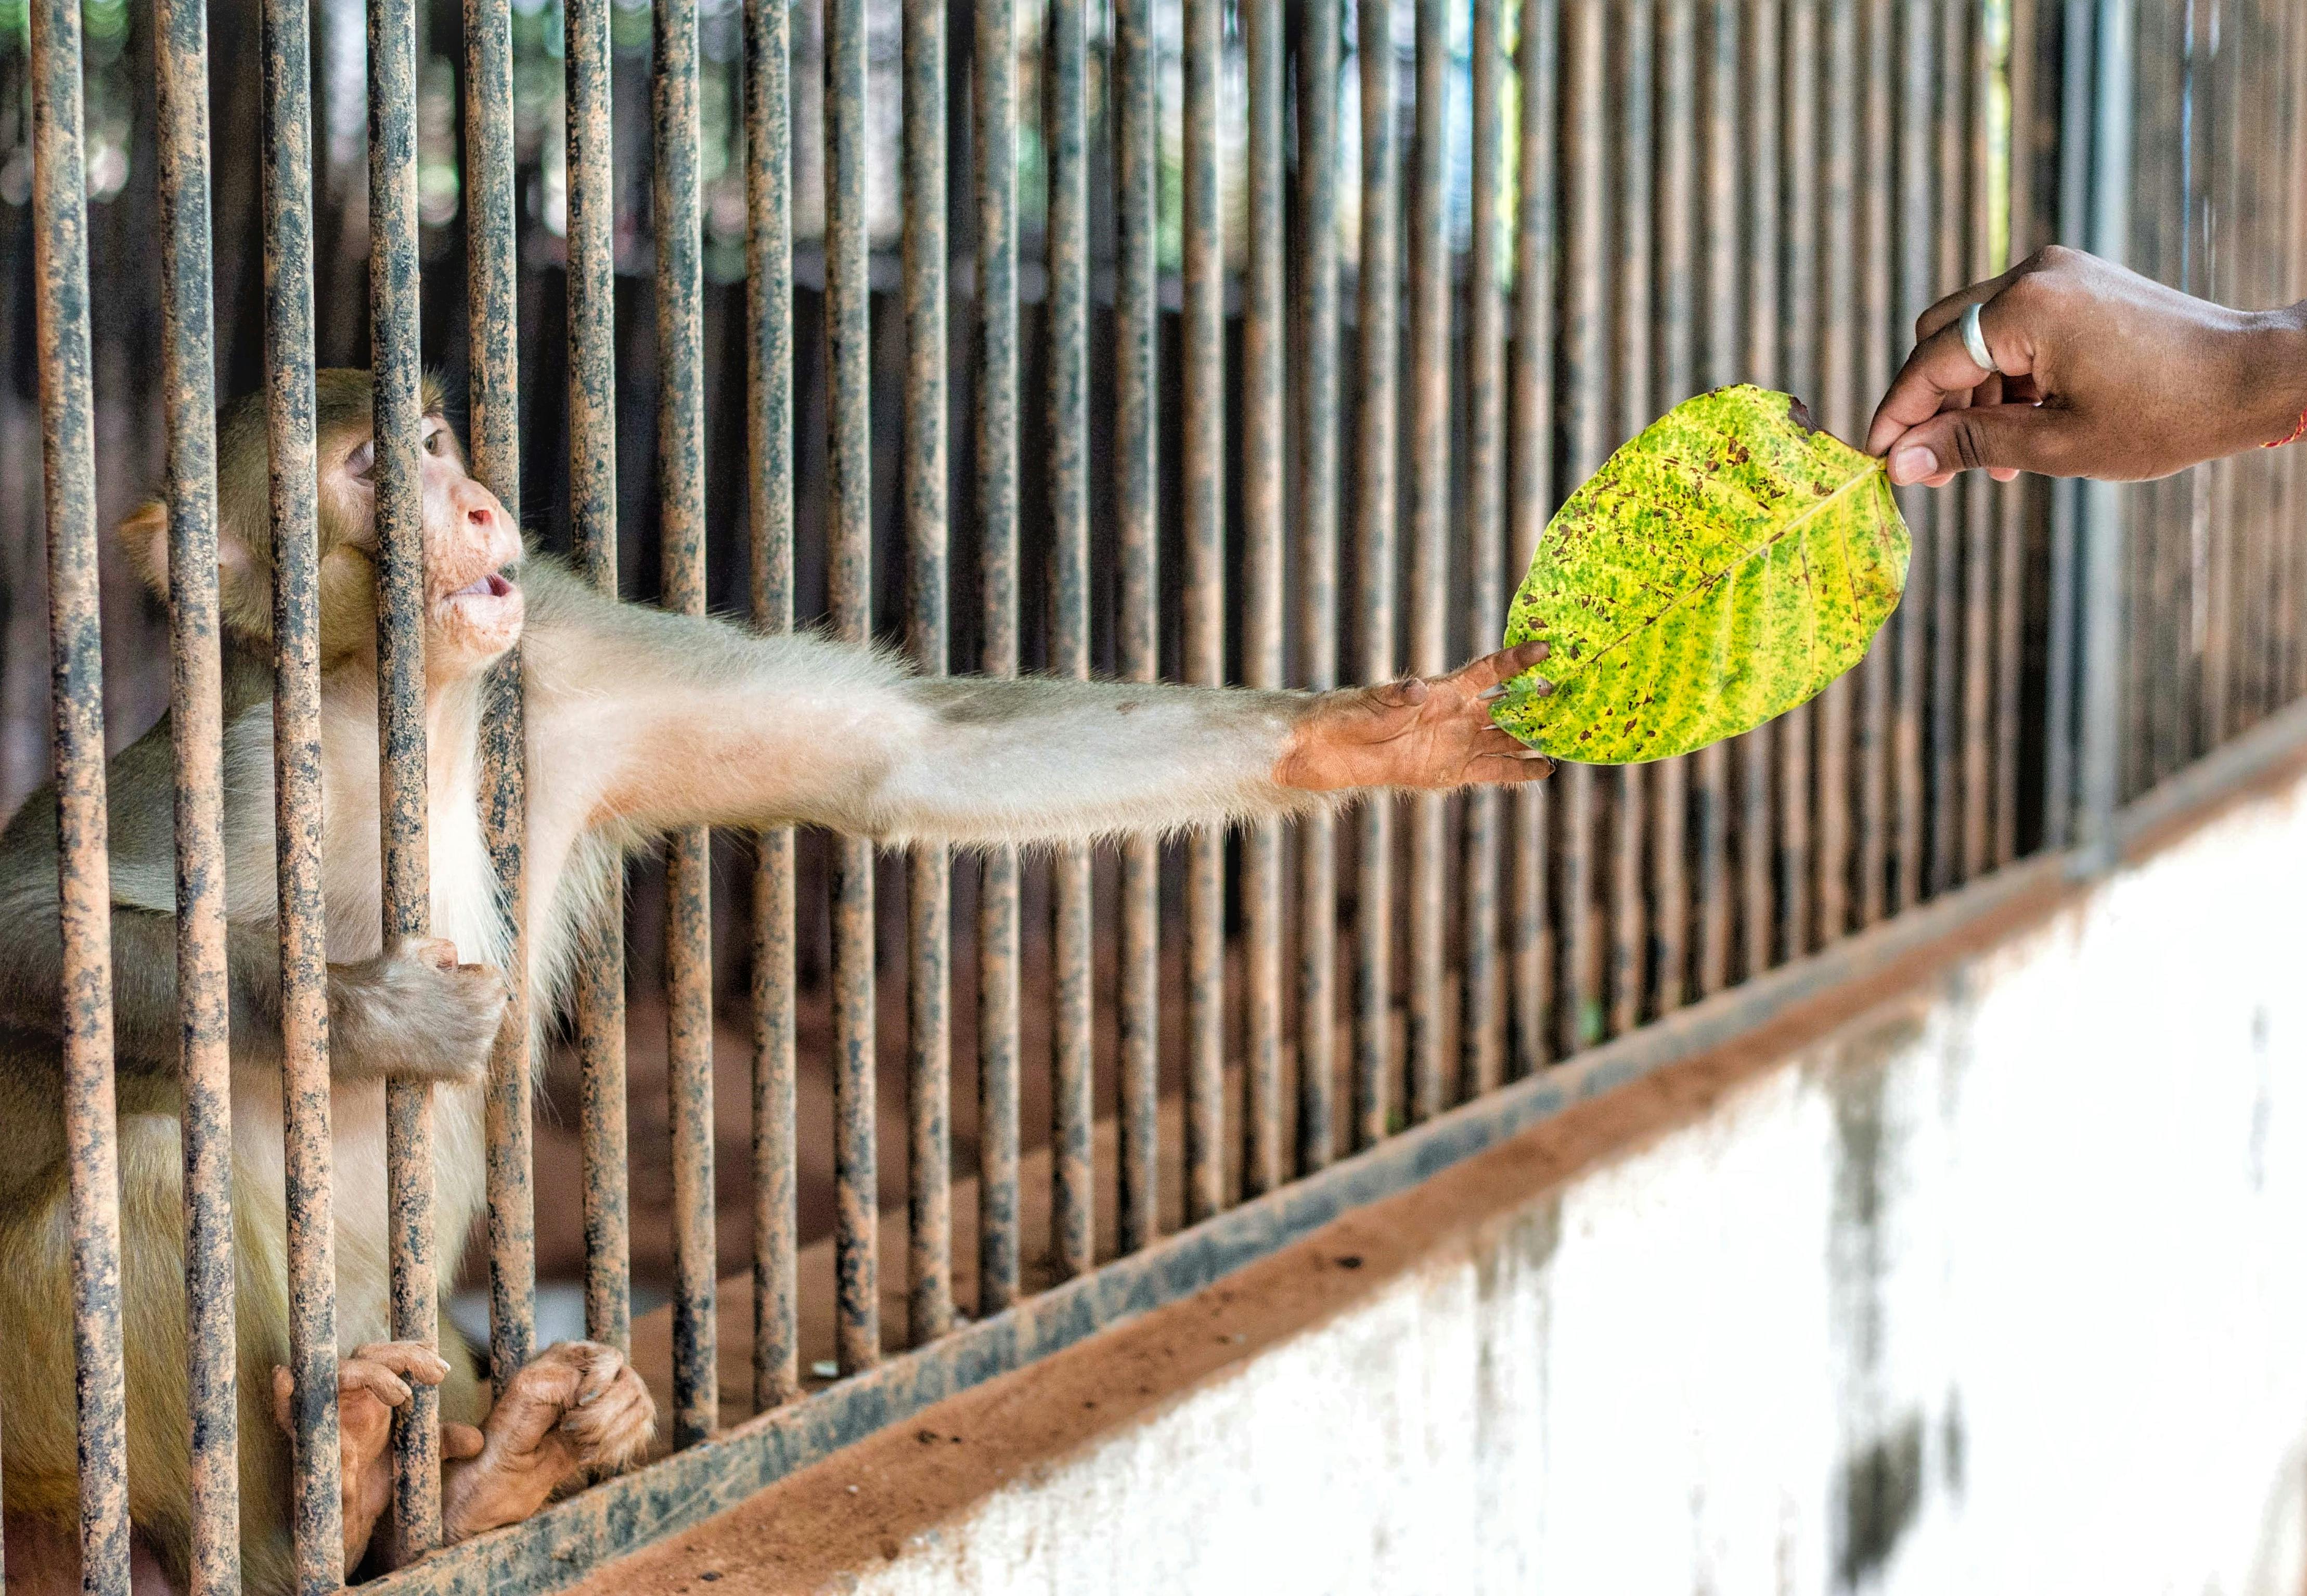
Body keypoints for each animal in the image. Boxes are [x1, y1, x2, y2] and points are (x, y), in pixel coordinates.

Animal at [0, 371, 1560, 1596]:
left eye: (437, 438)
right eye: (378, 469)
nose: (486, 506)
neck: (395, 717)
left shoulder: (556, 664)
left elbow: (900, 751)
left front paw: (1391, 730)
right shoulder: (228, 760)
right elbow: (35, 923)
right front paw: (368, 1009)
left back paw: (490, 1470)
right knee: (142, 1170)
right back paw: (343, 1502)